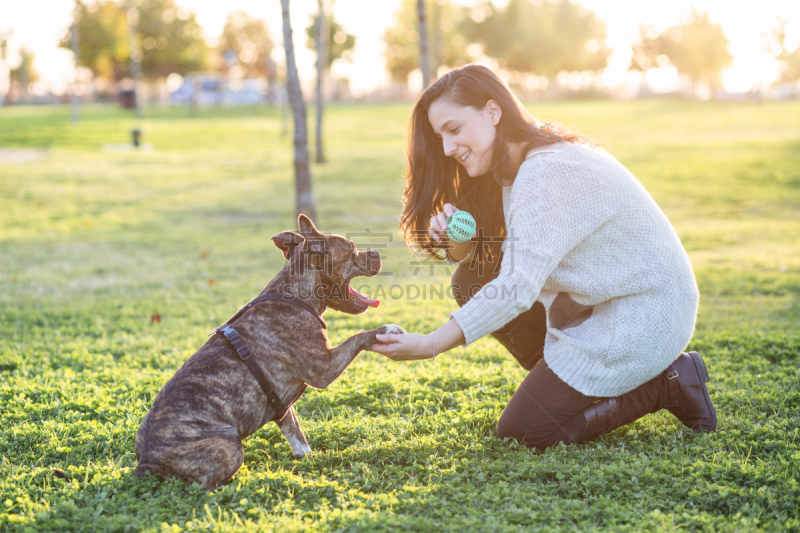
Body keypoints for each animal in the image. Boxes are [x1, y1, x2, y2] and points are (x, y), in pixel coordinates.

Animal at [135, 215, 406, 486]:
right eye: (352, 250)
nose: (376, 251)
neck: (295, 295)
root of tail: (145, 461)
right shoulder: (324, 369)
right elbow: (358, 336)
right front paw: (386, 329)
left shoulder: (282, 404)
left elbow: (294, 431)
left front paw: (305, 457)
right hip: (228, 448)